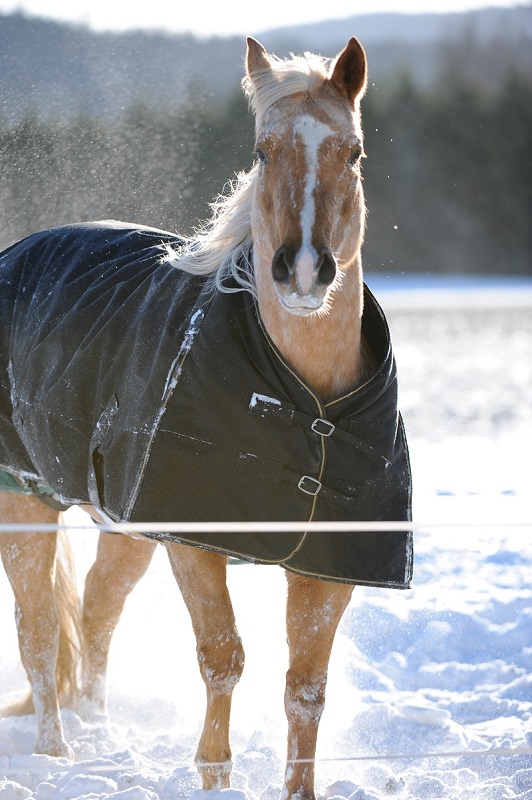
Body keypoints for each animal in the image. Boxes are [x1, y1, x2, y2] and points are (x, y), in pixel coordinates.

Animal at [0, 37, 412, 800]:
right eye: (261, 151)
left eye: (354, 152)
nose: (302, 270)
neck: (305, 408)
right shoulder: (193, 542)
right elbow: (222, 657)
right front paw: (214, 774)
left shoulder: (328, 564)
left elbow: (305, 688)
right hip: (26, 500)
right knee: (39, 632)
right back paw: (56, 755)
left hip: (122, 523)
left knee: (96, 609)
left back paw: (99, 729)